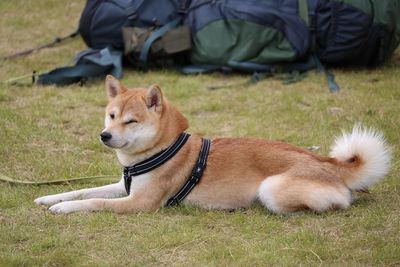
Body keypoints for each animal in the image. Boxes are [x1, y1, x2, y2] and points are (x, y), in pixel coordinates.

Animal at [34, 75, 390, 216]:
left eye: (131, 121)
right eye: (110, 116)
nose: (104, 135)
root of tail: (330, 165)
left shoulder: (140, 202)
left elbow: (94, 202)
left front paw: (64, 210)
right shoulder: (125, 187)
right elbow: (82, 191)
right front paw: (50, 198)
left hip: (271, 188)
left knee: (338, 203)